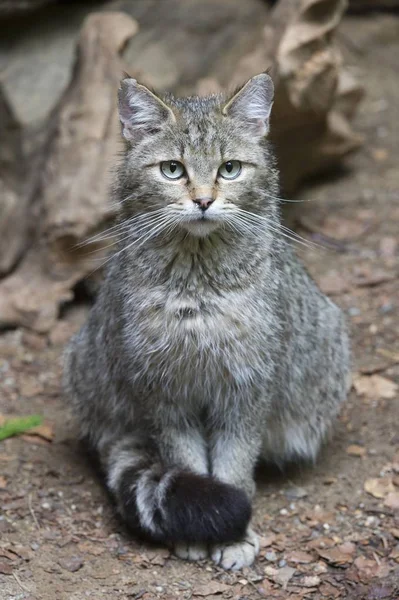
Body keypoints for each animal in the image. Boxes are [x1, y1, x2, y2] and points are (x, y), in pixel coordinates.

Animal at [64, 72, 352, 568]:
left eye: (230, 169)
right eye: (172, 170)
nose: (202, 200)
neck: (197, 281)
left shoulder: (249, 383)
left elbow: (235, 464)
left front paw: (234, 533)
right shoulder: (161, 388)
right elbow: (186, 462)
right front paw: (201, 531)